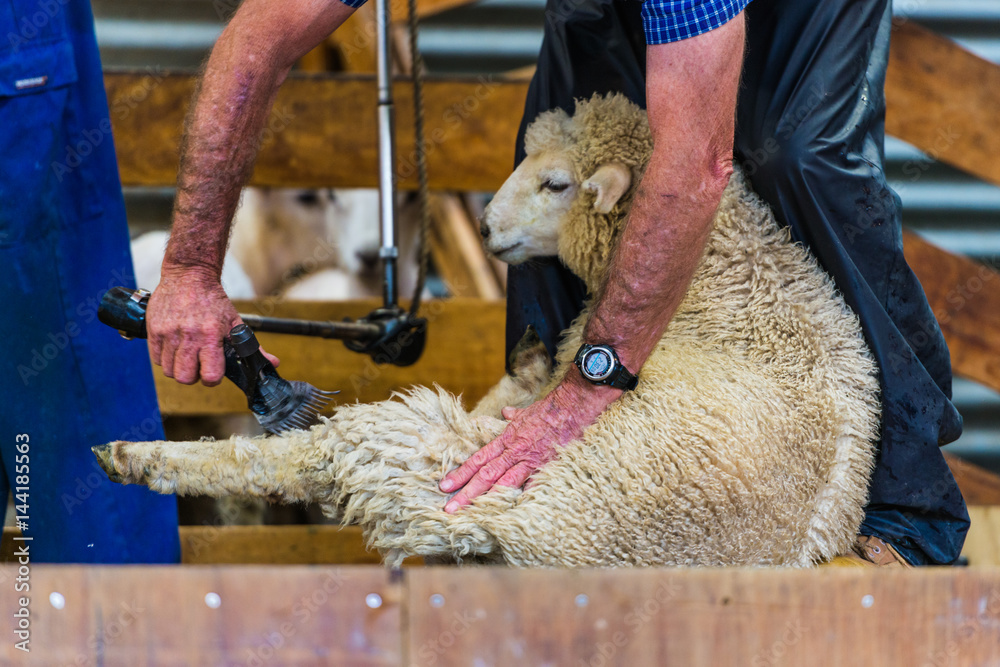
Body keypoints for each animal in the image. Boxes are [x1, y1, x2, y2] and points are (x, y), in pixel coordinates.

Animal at [94, 91, 876, 568]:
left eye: (557, 183)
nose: (485, 228)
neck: (728, 275)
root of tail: (500, 534)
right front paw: (526, 362)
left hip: (431, 454)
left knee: (289, 459)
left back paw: (135, 455)